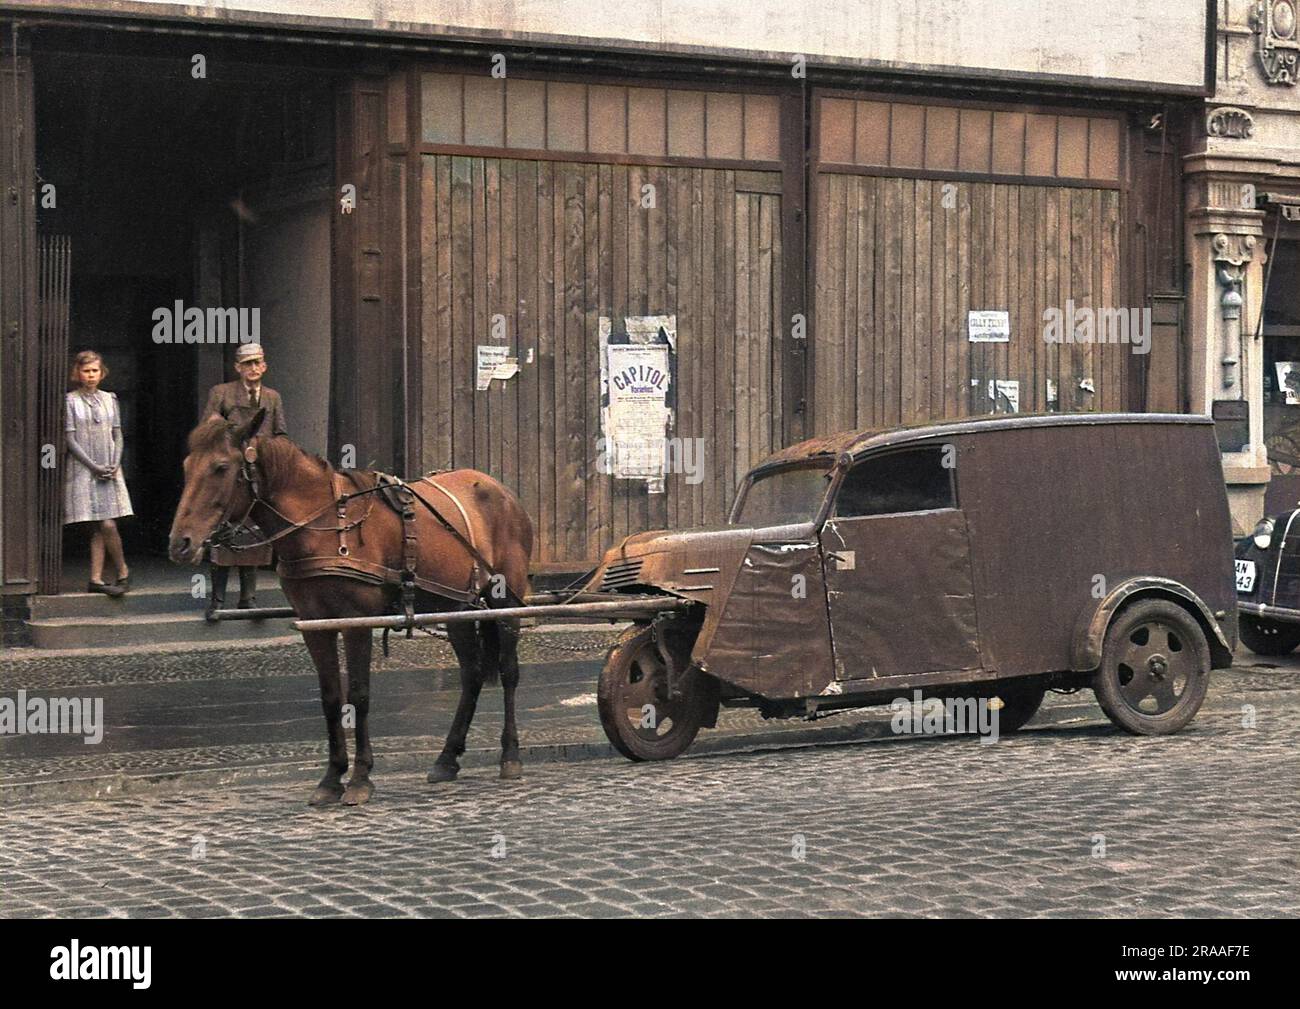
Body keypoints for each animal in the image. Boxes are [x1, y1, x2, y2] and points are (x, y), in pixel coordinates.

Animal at [167, 410, 533, 806]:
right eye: (186, 466)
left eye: (221, 467)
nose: (180, 543)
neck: (324, 525)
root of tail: (501, 491)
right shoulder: (315, 624)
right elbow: (331, 697)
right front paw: (331, 777)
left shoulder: (358, 620)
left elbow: (359, 694)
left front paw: (360, 778)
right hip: (456, 608)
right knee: (472, 674)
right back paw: (447, 758)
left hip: (505, 600)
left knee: (509, 671)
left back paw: (510, 755)